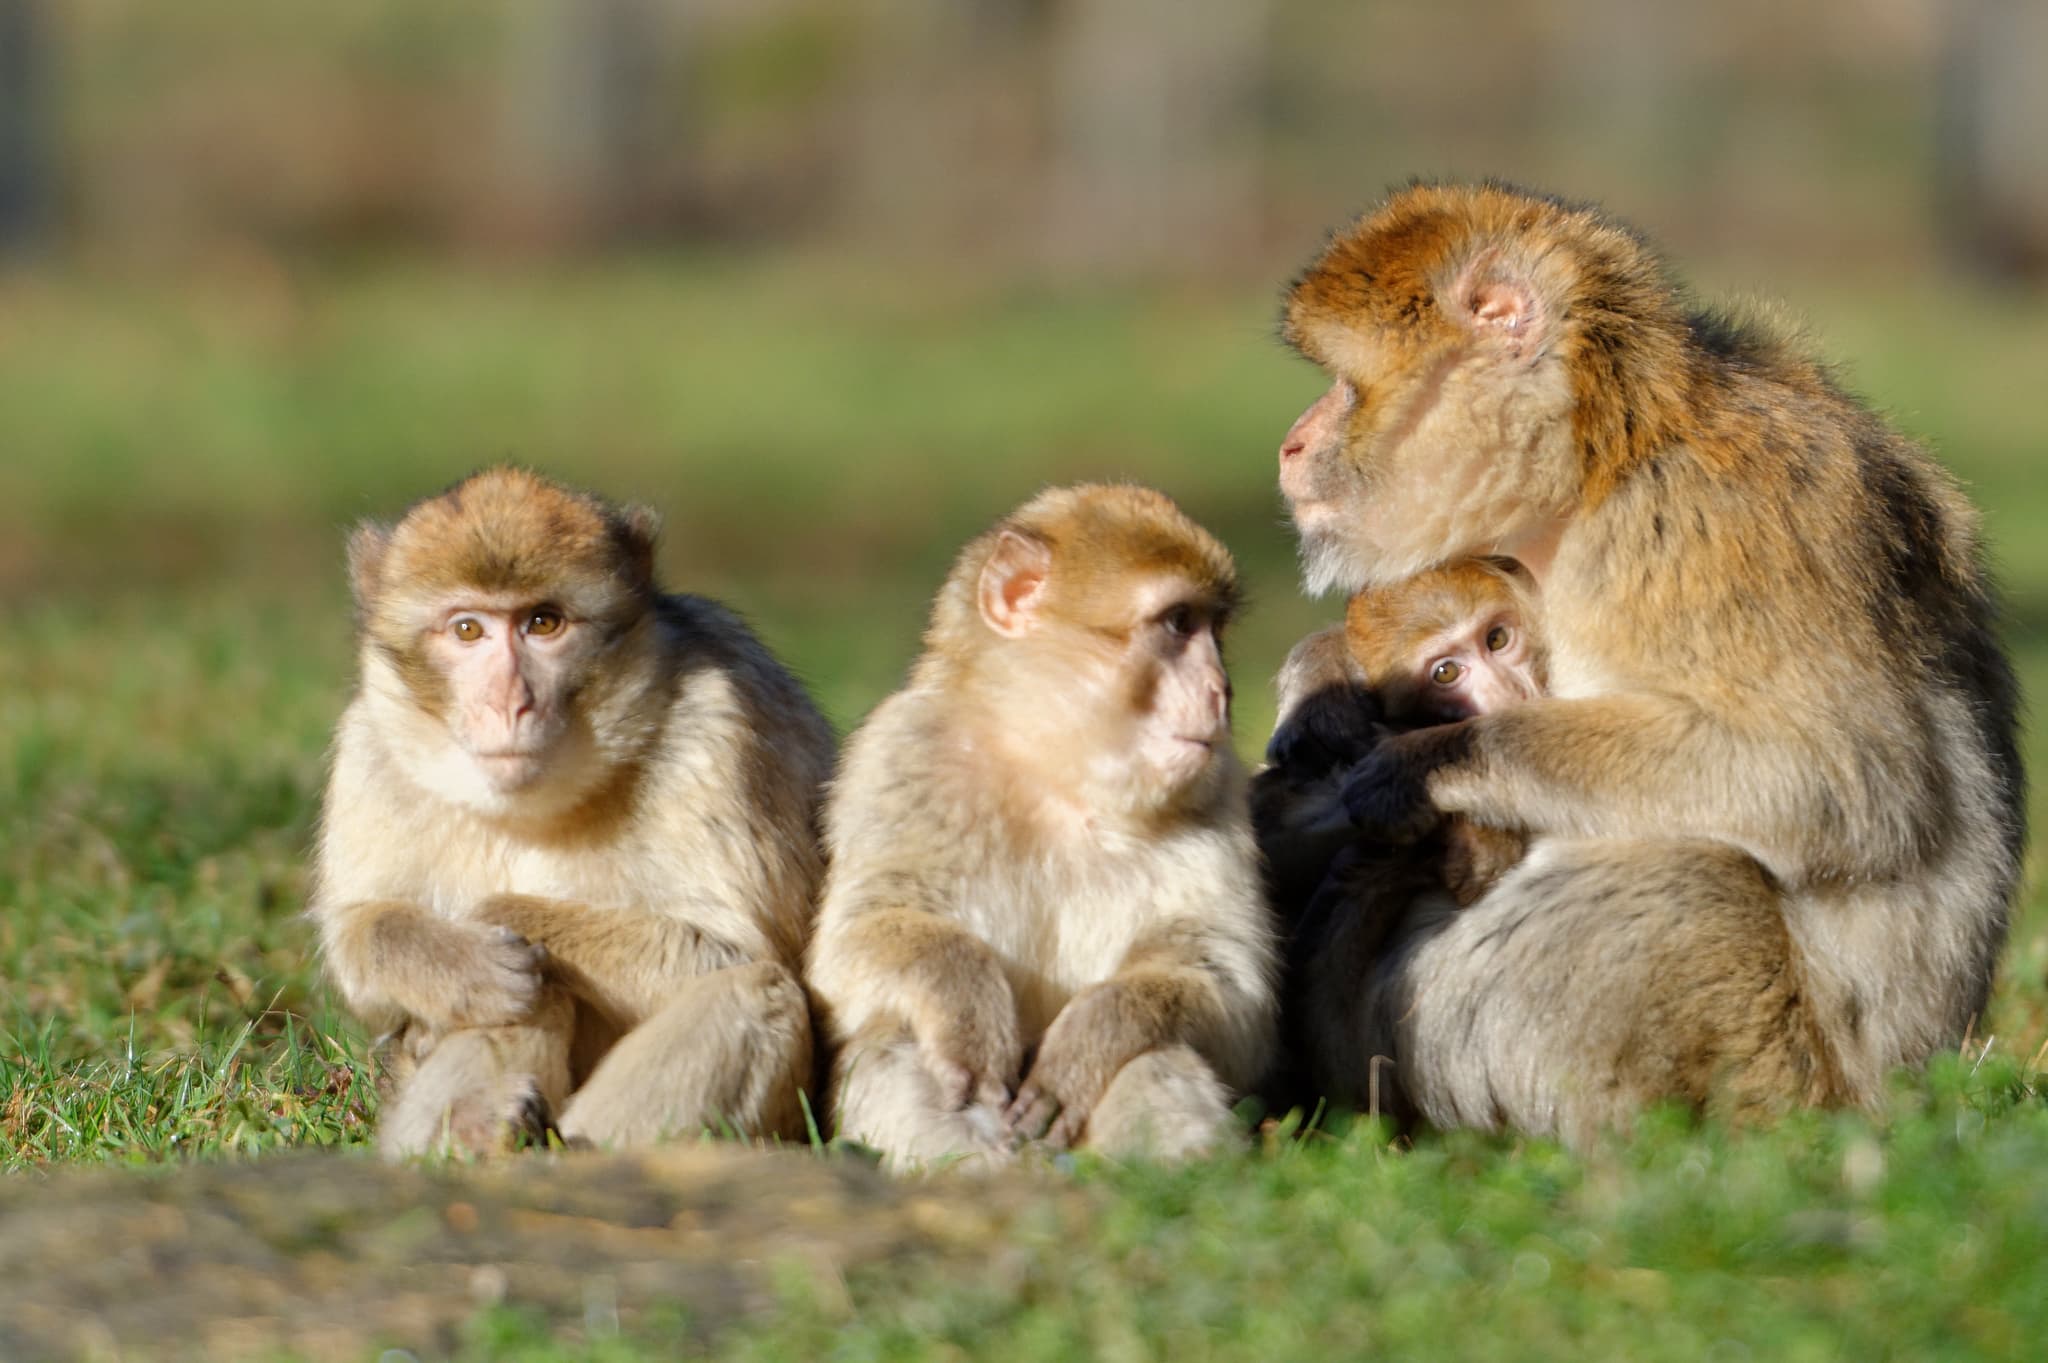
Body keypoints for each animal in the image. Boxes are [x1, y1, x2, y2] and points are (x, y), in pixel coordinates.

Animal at [307, 466, 836, 1158]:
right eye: (468, 630)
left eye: (543, 622)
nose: (510, 703)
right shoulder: (371, 745)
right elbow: (357, 933)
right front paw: (464, 961)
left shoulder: (717, 724)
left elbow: (734, 955)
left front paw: (491, 916)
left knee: (756, 991)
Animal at [806, 484, 1279, 1170]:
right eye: (1178, 624)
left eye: (1213, 627)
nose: (1222, 691)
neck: (1056, 771)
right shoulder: (902, 754)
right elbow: (853, 944)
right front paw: (967, 1006)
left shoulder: (1220, 795)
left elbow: (1232, 991)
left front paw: (1090, 1039)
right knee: (894, 1038)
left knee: (1157, 1055)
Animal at [1262, 180, 2022, 1147]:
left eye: (1345, 385)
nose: (1291, 441)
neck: (1599, 460)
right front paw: (1323, 681)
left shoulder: (1701, 520)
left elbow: (1836, 782)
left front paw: (1429, 764)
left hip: (1780, 1067)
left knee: (1684, 881)